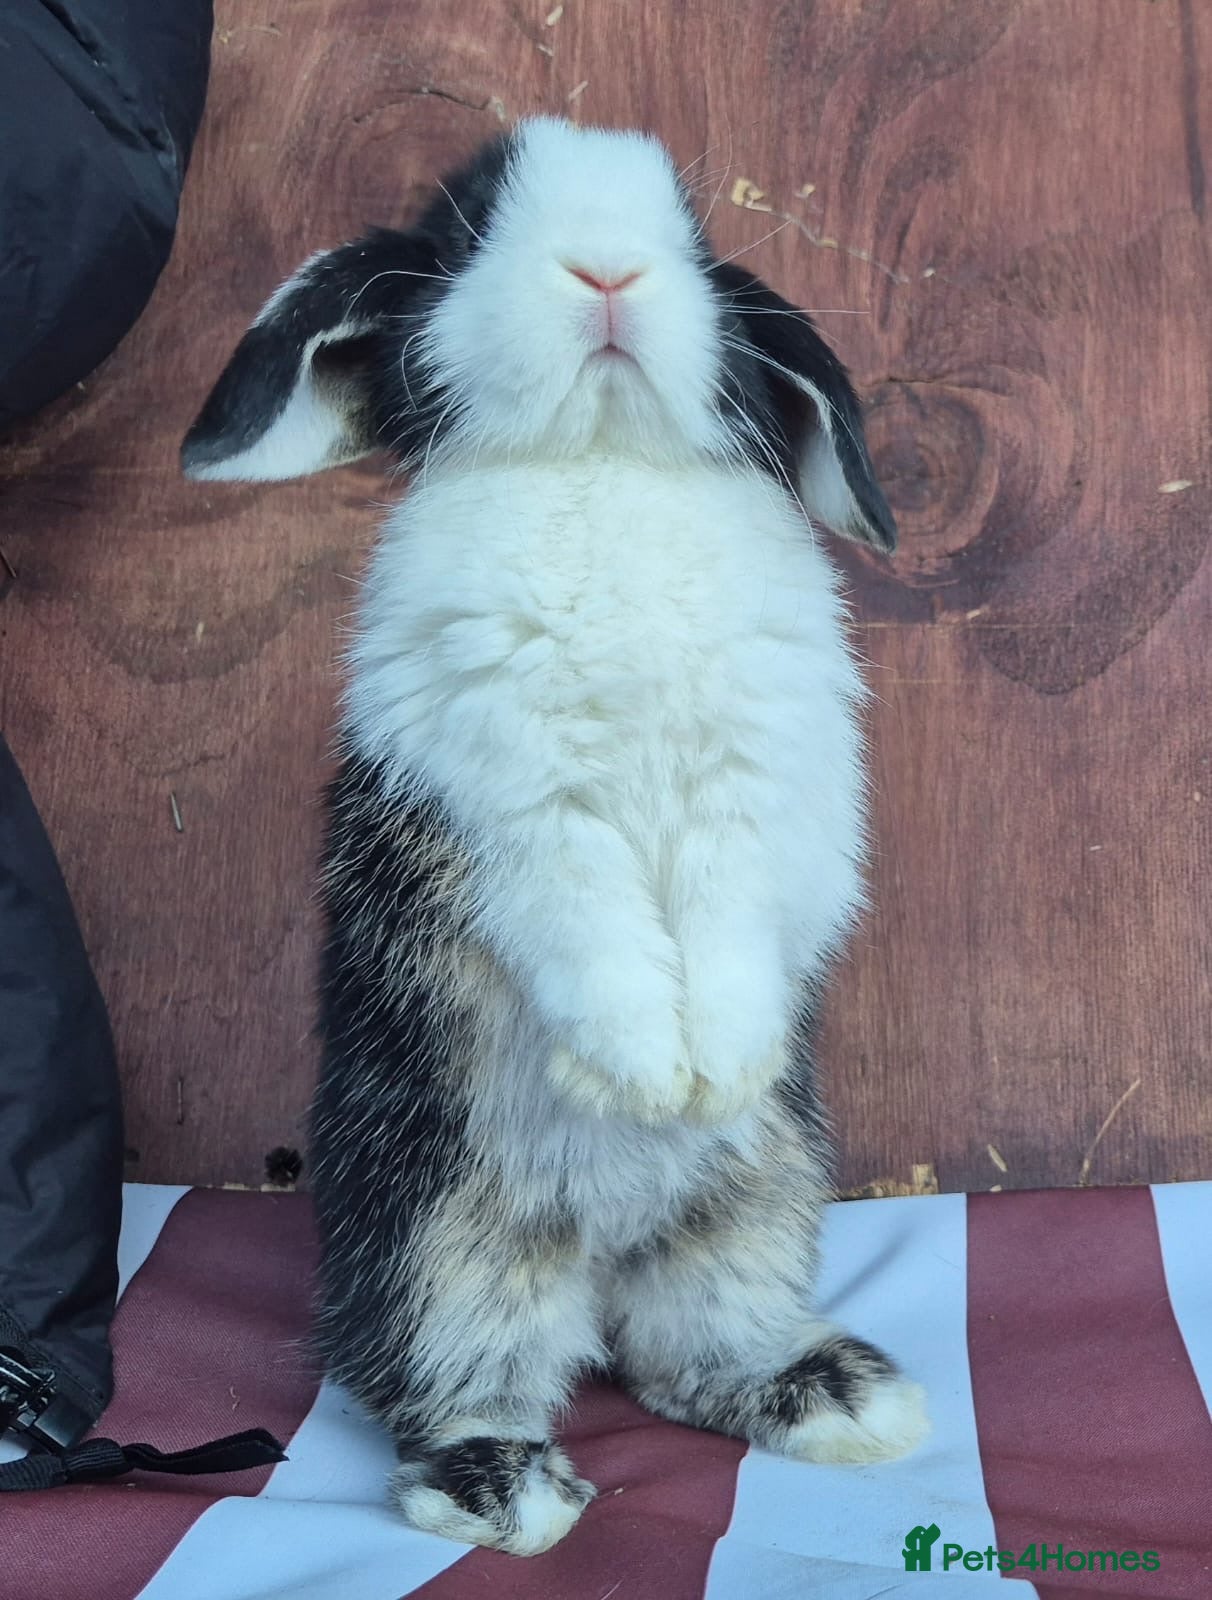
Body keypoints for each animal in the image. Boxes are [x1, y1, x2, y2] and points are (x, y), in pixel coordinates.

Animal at [182, 116, 928, 1557]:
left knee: (691, 1348)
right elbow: (589, 925)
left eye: (690, 232)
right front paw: (647, 1075)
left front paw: (711, 1072)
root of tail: (604, 1247)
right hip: (438, 1230)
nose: (607, 270)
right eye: (470, 226)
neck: (602, 461)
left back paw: (840, 1398)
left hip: (765, 1194)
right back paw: (503, 1494)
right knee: (467, 1370)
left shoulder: (759, 792)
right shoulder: (509, 801)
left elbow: (735, 922)